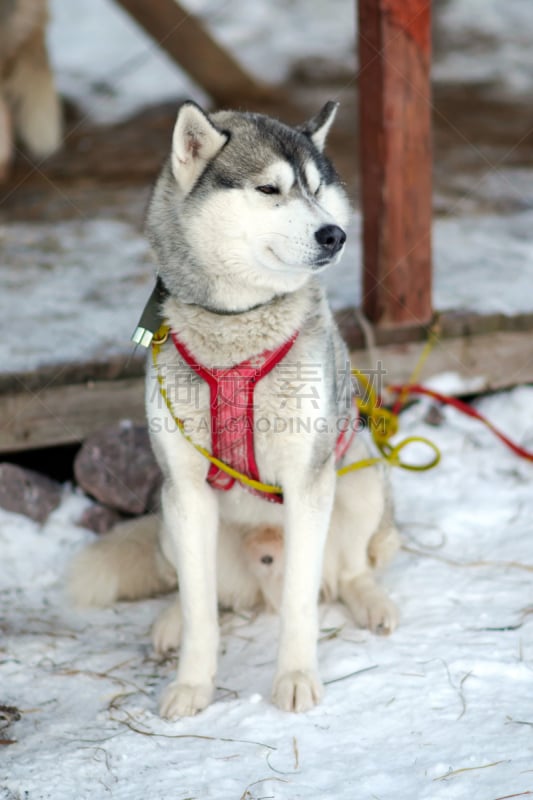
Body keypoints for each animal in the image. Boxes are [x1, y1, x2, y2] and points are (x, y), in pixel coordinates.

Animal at [67, 100, 400, 720]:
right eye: (270, 189)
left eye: (317, 188)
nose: (335, 234)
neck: (236, 329)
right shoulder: (187, 489)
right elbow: (201, 610)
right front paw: (192, 685)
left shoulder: (308, 482)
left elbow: (300, 604)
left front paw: (296, 678)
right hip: (168, 514)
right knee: (203, 593)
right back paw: (170, 621)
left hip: (358, 477)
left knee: (349, 571)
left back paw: (371, 601)